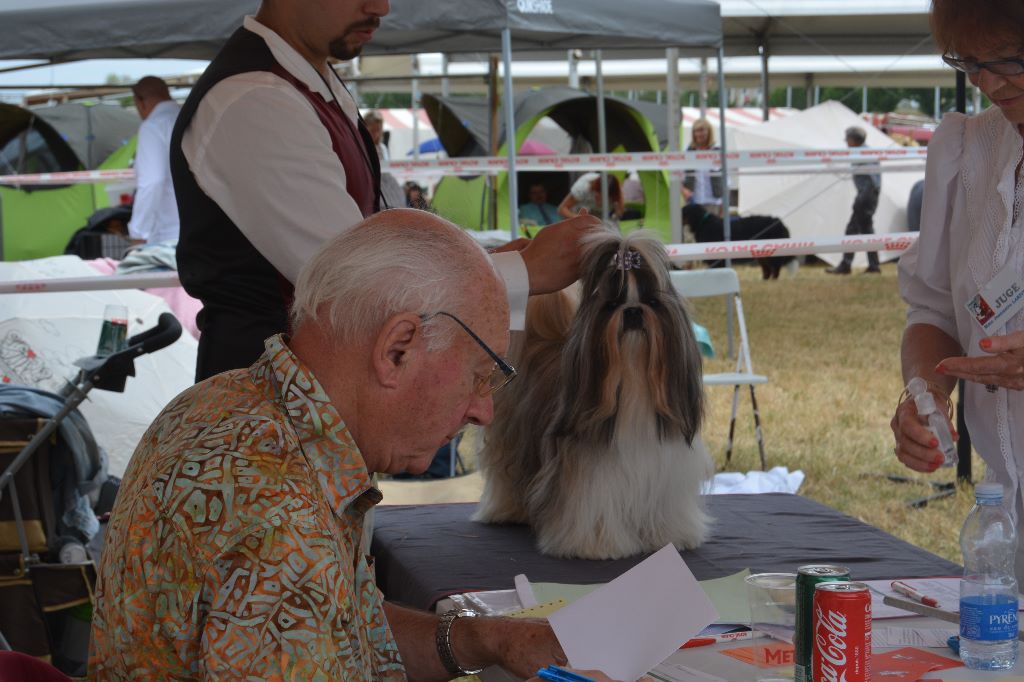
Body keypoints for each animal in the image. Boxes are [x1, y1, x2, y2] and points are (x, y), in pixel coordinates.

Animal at [471, 225, 712, 557]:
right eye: (610, 305)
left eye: (652, 302)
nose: (632, 311)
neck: (634, 384)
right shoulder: (592, 478)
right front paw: (596, 545)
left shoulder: (666, 474)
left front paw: (670, 536)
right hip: (513, 444)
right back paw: (507, 511)